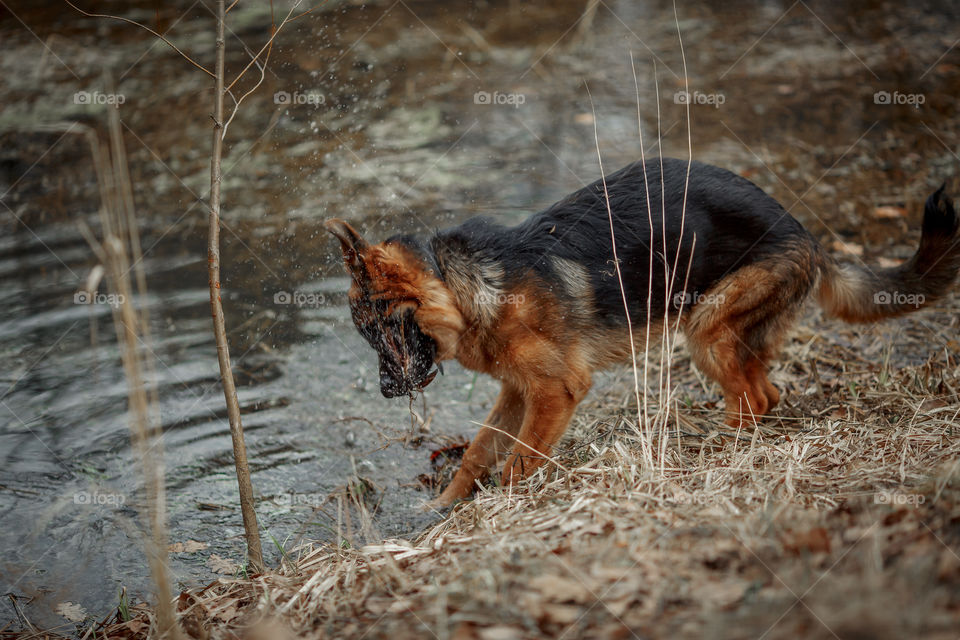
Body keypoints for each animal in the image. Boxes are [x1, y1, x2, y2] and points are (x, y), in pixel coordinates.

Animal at [328, 158, 960, 508]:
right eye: (363, 335)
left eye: (379, 329)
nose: (386, 391)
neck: (466, 287)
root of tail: (807, 234)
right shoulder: (517, 391)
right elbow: (479, 453)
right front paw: (443, 511)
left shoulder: (555, 391)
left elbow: (517, 462)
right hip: (726, 335)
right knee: (767, 391)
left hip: (705, 331)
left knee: (751, 399)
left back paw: (717, 455)